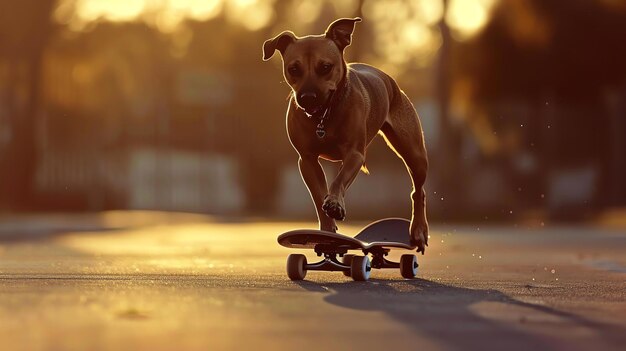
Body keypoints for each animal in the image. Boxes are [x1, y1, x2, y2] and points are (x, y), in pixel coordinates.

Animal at [260, 18, 426, 253]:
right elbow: (318, 193)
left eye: (325, 67)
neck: (324, 115)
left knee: (418, 191)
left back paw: (419, 230)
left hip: (414, 152)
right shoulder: (307, 160)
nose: (307, 97)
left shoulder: (354, 154)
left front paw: (335, 204)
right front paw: (327, 231)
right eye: (294, 69)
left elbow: (338, 181)